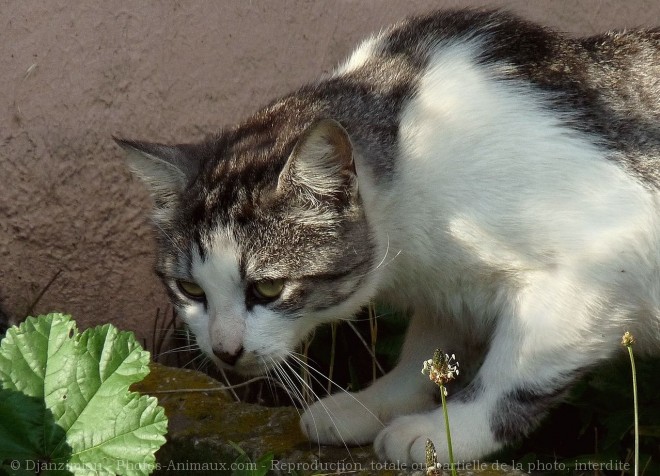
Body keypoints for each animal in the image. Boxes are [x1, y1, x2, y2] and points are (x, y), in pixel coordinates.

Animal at [118, 8, 660, 464]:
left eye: (268, 288)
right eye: (190, 289)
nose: (224, 352)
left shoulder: (605, 254)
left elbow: (513, 370)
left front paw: (445, 434)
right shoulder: (449, 287)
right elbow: (429, 352)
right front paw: (371, 405)